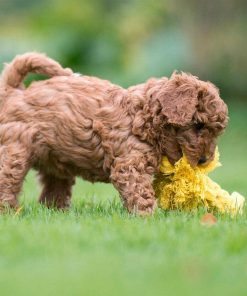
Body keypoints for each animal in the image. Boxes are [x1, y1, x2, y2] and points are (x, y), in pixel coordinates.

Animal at [0, 53, 228, 214]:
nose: (205, 160)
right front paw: (149, 217)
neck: (143, 117)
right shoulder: (129, 166)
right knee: (7, 180)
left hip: (56, 160)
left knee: (54, 187)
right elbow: (140, 192)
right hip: (15, 151)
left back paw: (58, 213)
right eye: (198, 125)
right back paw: (9, 212)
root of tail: (14, 91)